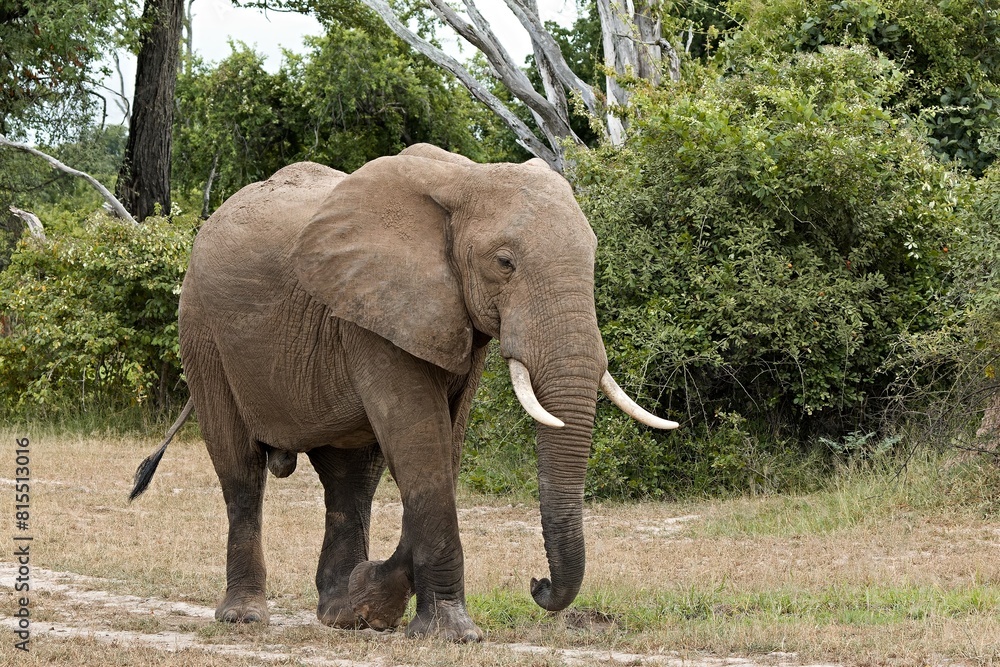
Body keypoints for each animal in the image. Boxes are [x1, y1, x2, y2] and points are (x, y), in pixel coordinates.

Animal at [131, 145, 680, 640]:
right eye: (504, 262)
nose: (537, 582)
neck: (466, 180)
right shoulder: (374, 310)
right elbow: (421, 442)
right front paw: (451, 633)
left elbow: (445, 448)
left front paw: (381, 604)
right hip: (202, 331)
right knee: (241, 471)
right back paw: (245, 617)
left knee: (352, 480)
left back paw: (341, 612)